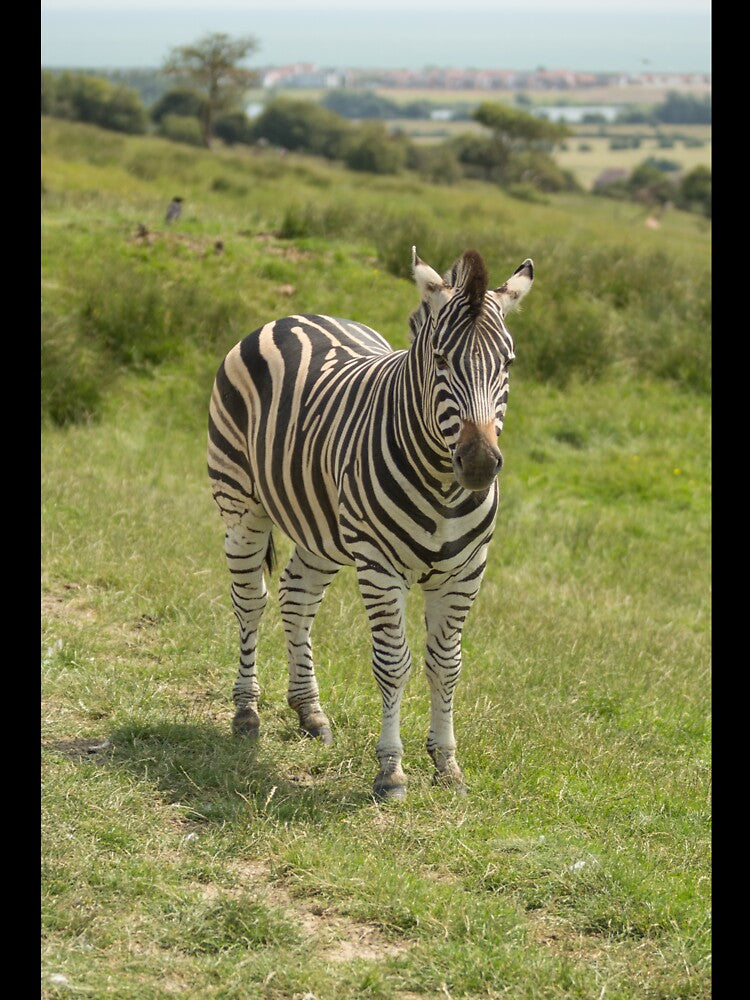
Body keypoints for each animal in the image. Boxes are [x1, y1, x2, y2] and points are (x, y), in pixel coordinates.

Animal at [207, 247, 533, 799]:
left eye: (507, 363)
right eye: (440, 360)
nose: (479, 465)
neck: (443, 487)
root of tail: (297, 316)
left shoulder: (466, 572)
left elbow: (446, 665)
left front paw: (447, 764)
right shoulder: (380, 567)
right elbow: (393, 663)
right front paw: (391, 770)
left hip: (322, 528)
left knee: (296, 596)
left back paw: (309, 711)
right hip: (242, 504)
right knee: (251, 602)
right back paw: (246, 711)